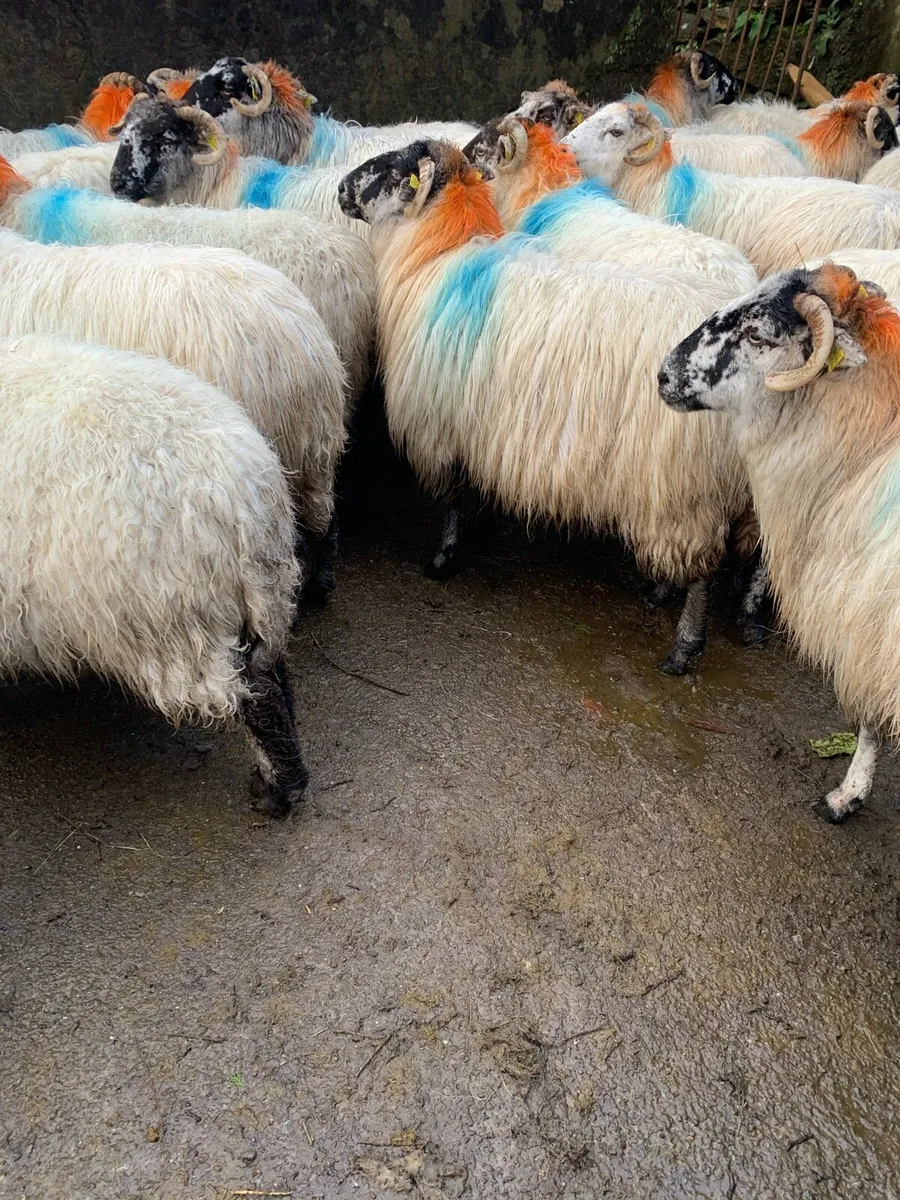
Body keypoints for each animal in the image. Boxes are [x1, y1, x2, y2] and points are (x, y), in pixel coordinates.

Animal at [0, 333, 307, 816]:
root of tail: (245, 499)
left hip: (175, 618)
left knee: (254, 696)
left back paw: (276, 791)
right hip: (257, 601)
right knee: (272, 677)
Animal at [337, 139, 751, 674]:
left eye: (392, 170)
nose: (340, 188)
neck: (437, 255)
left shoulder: (444, 423)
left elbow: (453, 497)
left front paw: (445, 558)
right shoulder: (477, 427)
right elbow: (472, 491)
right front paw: (479, 531)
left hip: (682, 479)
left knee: (705, 567)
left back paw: (684, 644)